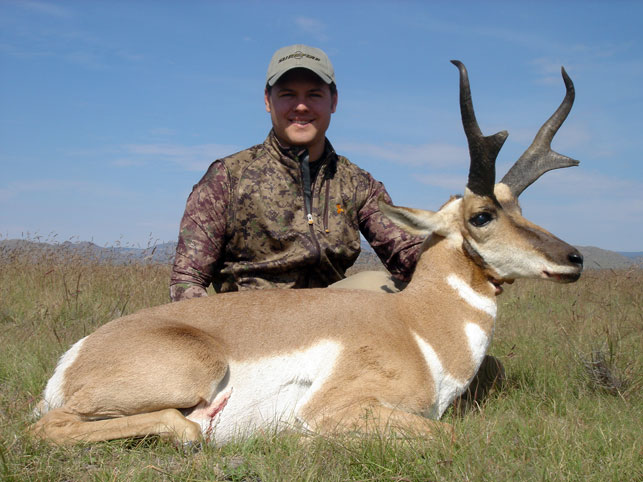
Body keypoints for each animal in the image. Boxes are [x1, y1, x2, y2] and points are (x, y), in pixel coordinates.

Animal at [30, 62, 584, 446]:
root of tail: (73, 357)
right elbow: (447, 435)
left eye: (520, 207)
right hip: (194, 372)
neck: (416, 324)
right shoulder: (334, 408)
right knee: (59, 426)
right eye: (482, 216)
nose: (575, 259)